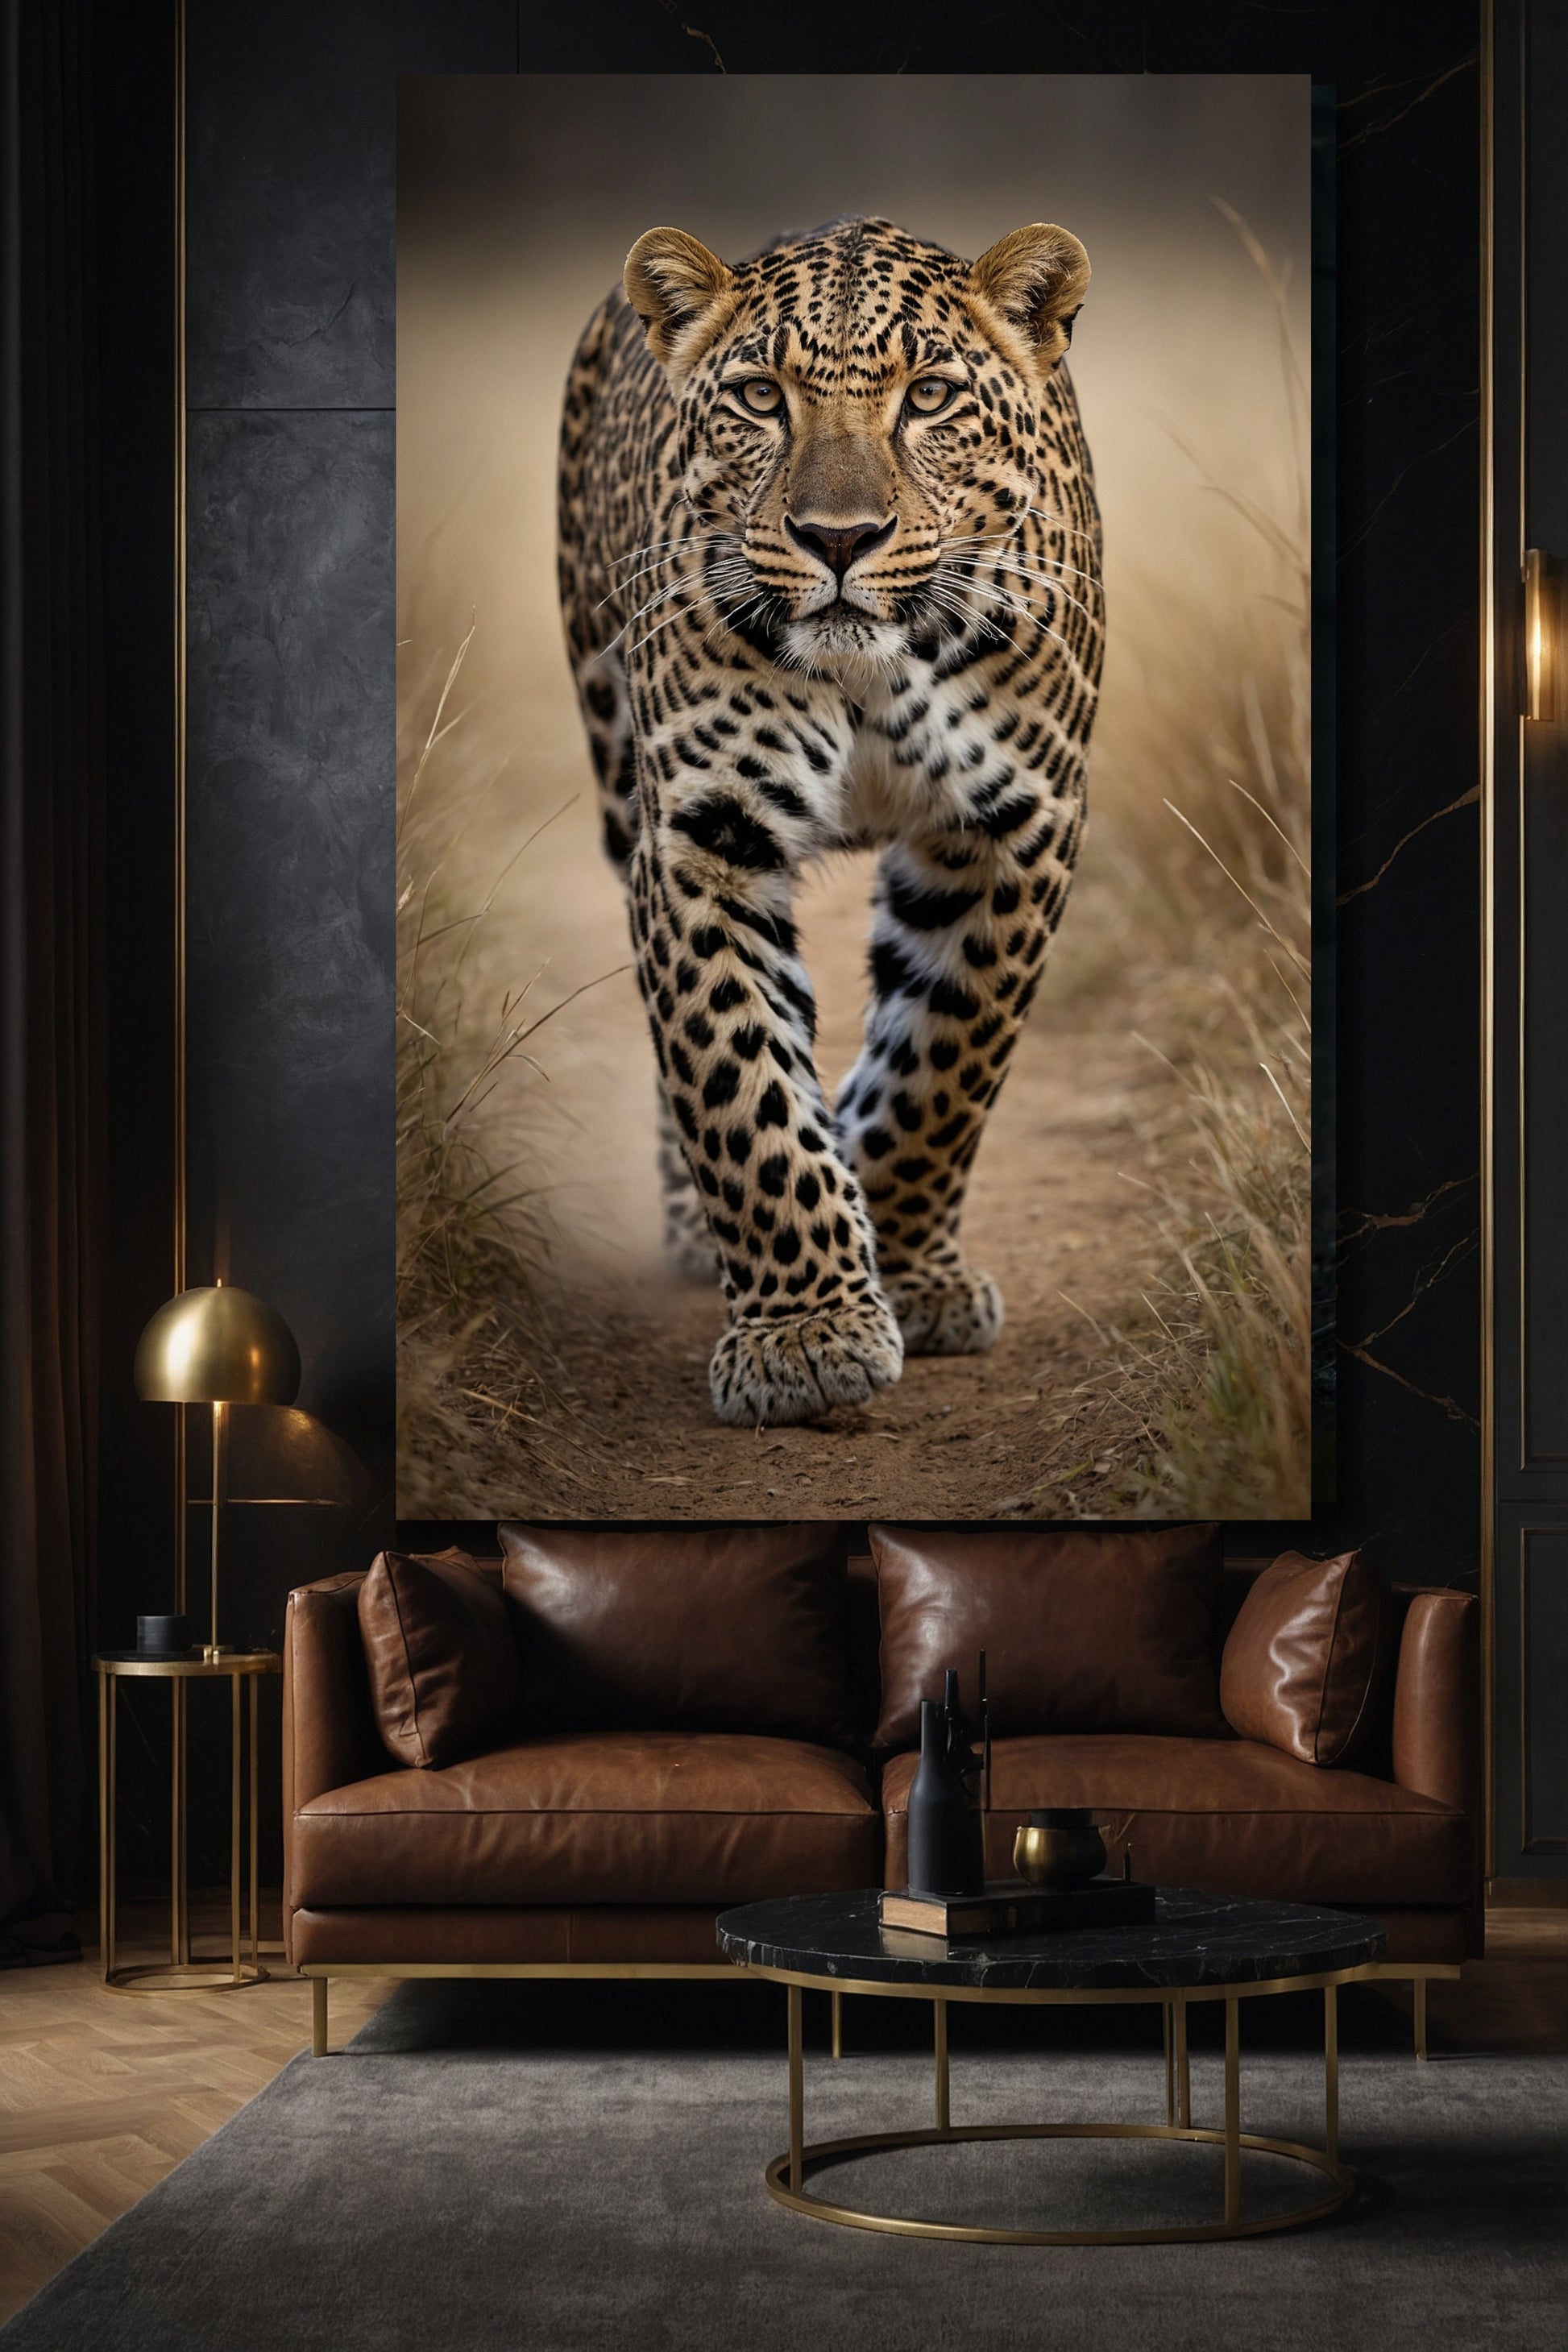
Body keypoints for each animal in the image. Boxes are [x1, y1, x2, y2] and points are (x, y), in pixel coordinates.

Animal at [556, 213, 1104, 1428]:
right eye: (761, 397)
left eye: (929, 395)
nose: (837, 538)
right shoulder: (700, 836)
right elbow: (735, 1081)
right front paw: (805, 1336)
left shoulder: (1013, 824)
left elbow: (945, 1062)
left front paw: (902, 1267)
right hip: (614, 757)